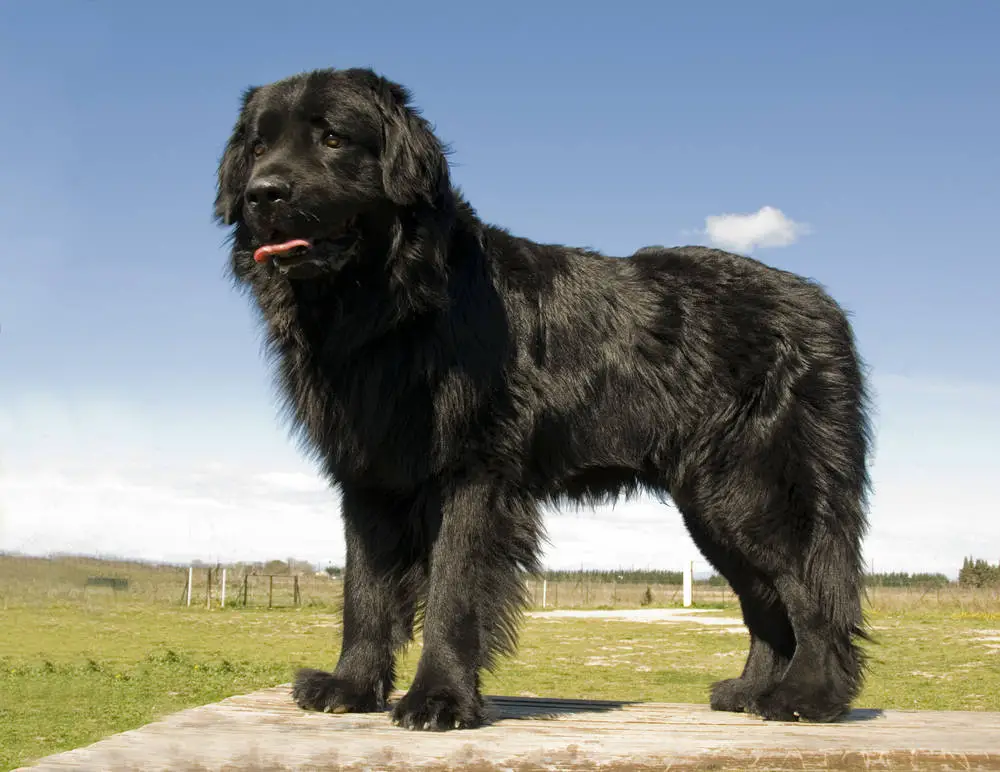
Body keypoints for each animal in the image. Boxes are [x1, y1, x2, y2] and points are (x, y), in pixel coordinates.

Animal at [215, 66, 872, 728]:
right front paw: (349, 687)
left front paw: (439, 699)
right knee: (765, 602)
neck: (391, 306)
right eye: (258, 146)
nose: (262, 194)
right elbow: (365, 593)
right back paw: (750, 693)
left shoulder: (474, 473)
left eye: (332, 138)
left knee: (812, 591)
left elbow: (453, 591)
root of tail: (825, 308)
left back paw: (806, 698)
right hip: (709, 506)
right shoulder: (369, 476)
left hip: (753, 490)